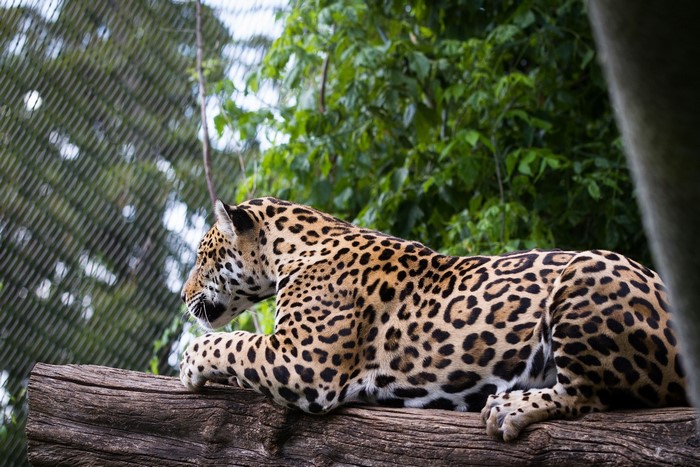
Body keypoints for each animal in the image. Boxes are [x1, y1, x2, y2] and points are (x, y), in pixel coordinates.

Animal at [179, 197, 687, 441]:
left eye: (203, 257)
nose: (183, 296)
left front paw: (189, 362)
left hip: (586, 269)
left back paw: (510, 407)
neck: (294, 250)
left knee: (592, 393)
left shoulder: (303, 362)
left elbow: (233, 342)